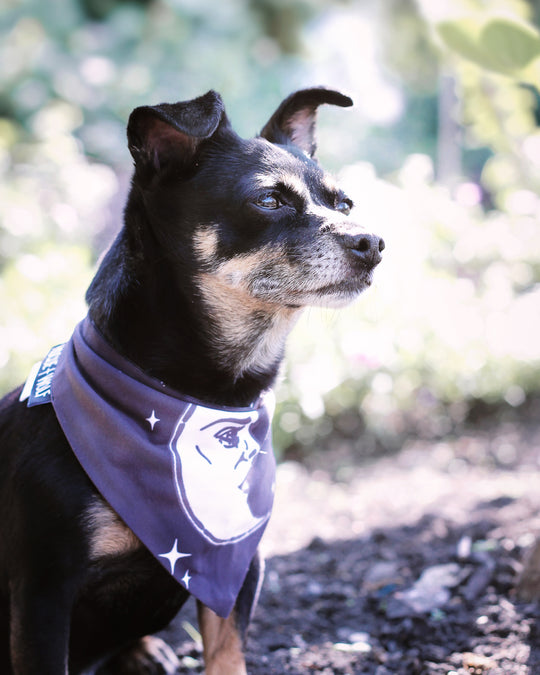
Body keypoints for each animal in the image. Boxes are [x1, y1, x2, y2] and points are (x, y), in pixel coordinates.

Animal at [0, 87, 384, 672]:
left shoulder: (238, 568)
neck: (201, 395)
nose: (373, 243)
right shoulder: (43, 592)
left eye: (344, 205)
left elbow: (227, 657)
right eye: (269, 200)